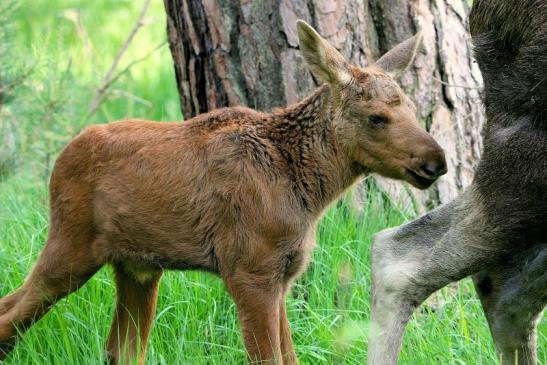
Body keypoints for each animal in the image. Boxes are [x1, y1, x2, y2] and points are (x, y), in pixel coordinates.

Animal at [0, 20, 446, 364]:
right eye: (377, 118)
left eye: (412, 108)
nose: (436, 161)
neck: (308, 191)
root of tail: (59, 162)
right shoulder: (249, 270)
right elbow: (269, 358)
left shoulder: (282, 276)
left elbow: (290, 357)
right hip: (72, 246)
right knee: (11, 316)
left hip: (136, 267)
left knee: (118, 348)